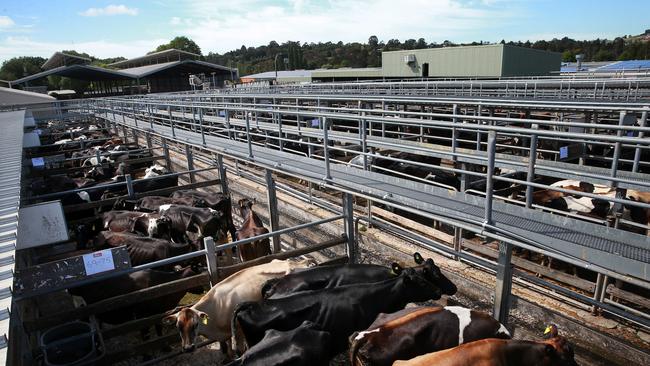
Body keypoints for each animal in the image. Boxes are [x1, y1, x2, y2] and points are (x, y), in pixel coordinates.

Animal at [162, 258, 314, 356]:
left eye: (195, 324)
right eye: (178, 326)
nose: (188, 348)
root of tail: (301, 262)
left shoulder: (239, 331)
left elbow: (239, 350)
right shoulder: (225, 335)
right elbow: (228, 349)